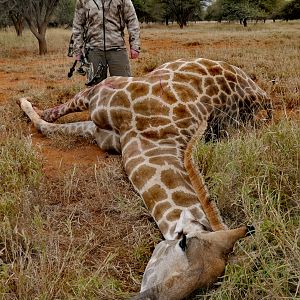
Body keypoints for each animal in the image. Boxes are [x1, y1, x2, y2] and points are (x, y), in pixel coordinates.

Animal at [18, 57, 272, 298]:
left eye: (201, 287)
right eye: (182, 244)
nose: (145, 297)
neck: (156, 136)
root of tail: (261, 95)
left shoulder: (100, 128)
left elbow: (47, 126)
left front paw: (27, 105)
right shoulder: (97, 95)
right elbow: (49, 119)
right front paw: (24, 102)